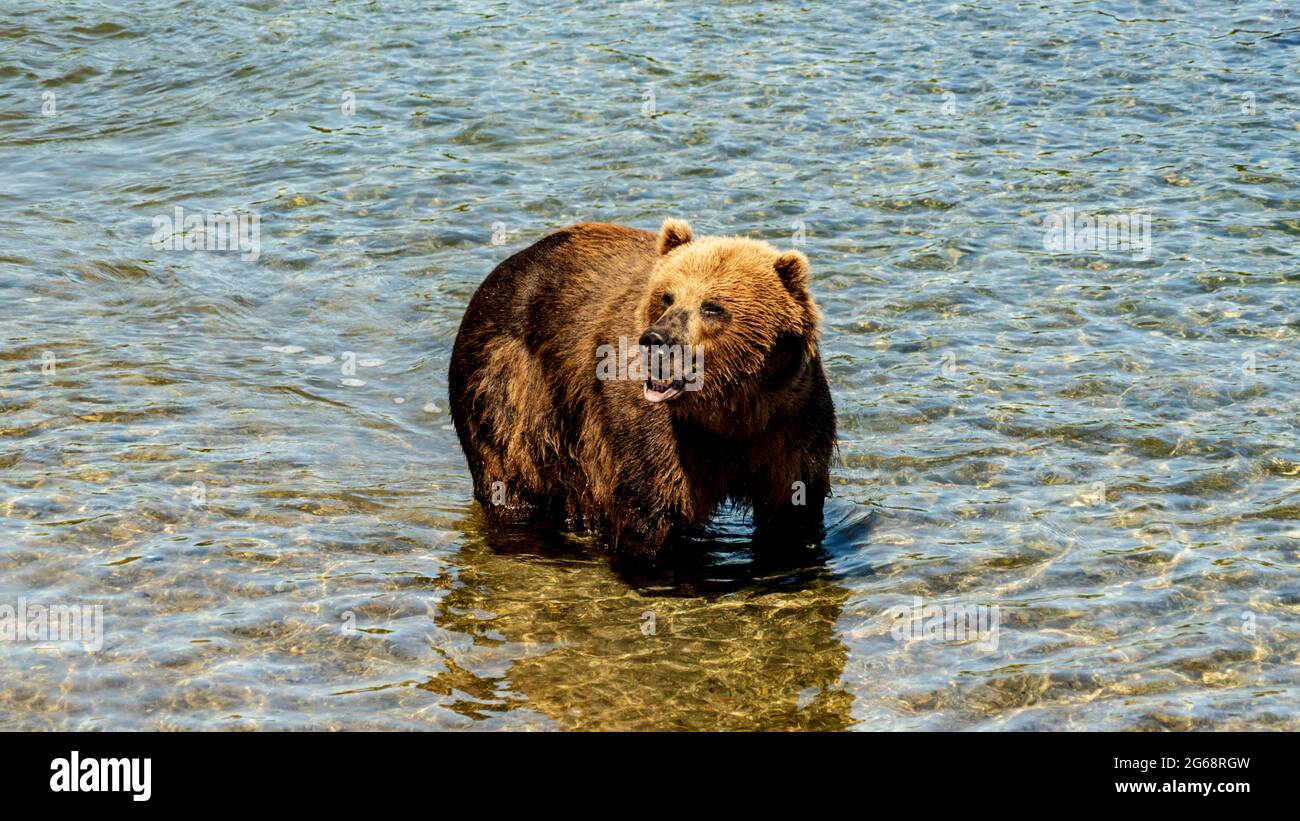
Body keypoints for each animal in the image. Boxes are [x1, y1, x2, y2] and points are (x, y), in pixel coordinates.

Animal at [447, 218, 832, 555]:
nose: (656, 339)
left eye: (712, 306)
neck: (727, 408)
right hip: (508, 381)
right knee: (511, 472)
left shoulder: (788, 416)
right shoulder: (651, 426)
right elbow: (648, 509)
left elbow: (792, 506)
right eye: (667, 296)